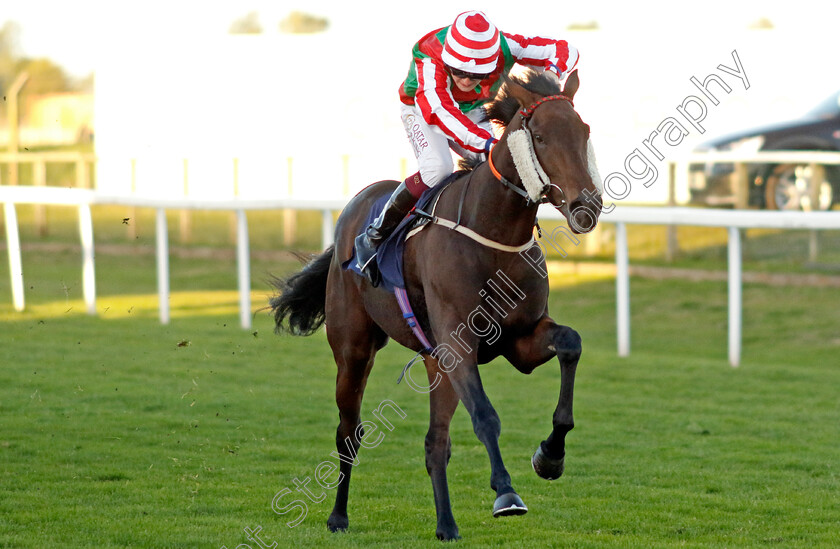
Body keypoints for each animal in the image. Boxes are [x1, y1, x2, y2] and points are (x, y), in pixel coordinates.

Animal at [272, 68, 600, 540]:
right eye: (538, 136)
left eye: (584, 131)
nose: (586, 205)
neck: (494, 235)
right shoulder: (457, 344)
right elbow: (485, 415)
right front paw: (506, 493)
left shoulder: (518, 340)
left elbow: (570, 343)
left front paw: (550, 456)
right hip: (354, 350)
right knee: (348, 432)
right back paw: (338, 516)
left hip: (433, 363)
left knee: (435, 443)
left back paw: (446, 524)